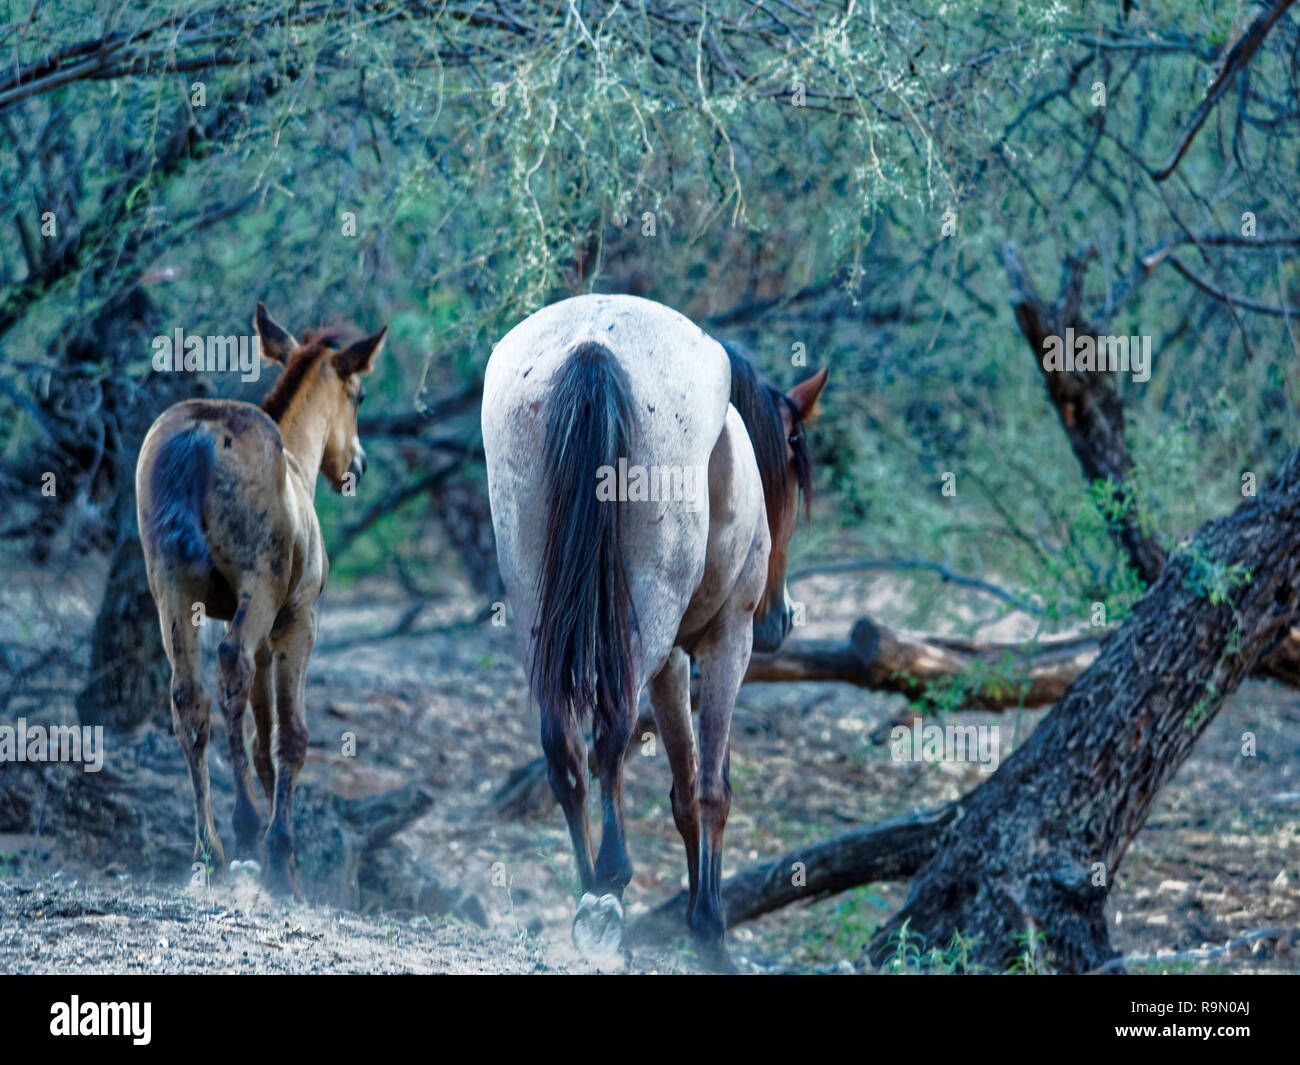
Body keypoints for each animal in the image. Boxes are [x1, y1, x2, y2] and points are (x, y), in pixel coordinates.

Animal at [136, 305, 382, 889]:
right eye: (358, 395)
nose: (357, 464)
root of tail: (200, 433)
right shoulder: (296, 619)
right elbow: (290, 734)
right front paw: (282, 852)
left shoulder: (264, 634)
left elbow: (263, 738)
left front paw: (280, 850)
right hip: (258, 590)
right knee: (230, 669)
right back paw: (247, 827)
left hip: (172, 595)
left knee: (189, 699)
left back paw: (210, 849)